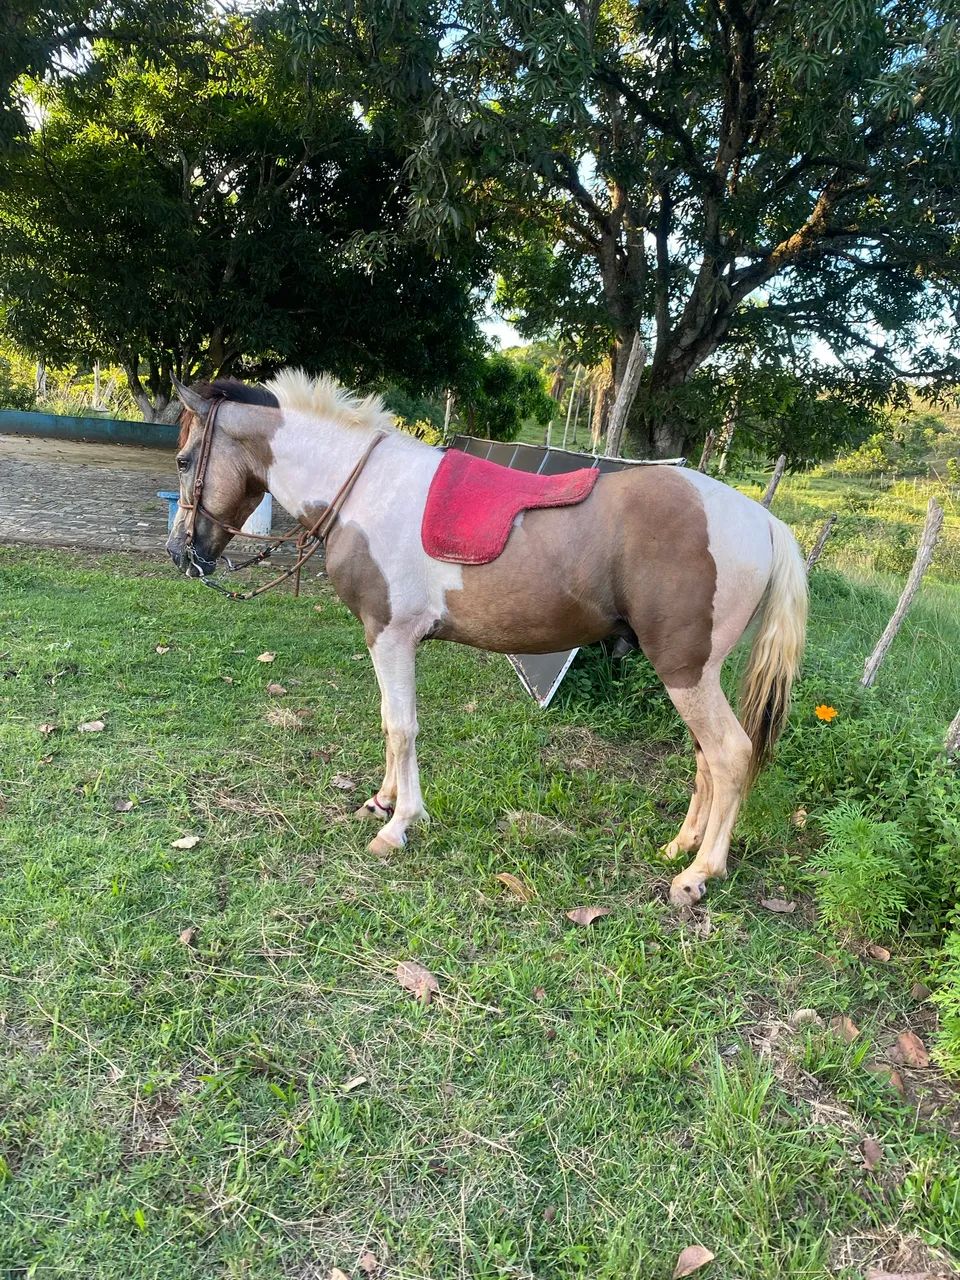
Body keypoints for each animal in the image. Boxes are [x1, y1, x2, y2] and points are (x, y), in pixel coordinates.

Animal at [167, 370, 808, 907]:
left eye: (183, 459)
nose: (180, 554)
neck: (366, 491)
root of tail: (762, 521)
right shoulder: (384, 639)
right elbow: (388, 720)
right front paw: (383, 800)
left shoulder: (391, 635)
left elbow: (402, 728)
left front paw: (399, 824)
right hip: (693, 672)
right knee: (706, 758)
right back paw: (681, 847)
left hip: (684, 671)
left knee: (730, 754)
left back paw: (699, 874)